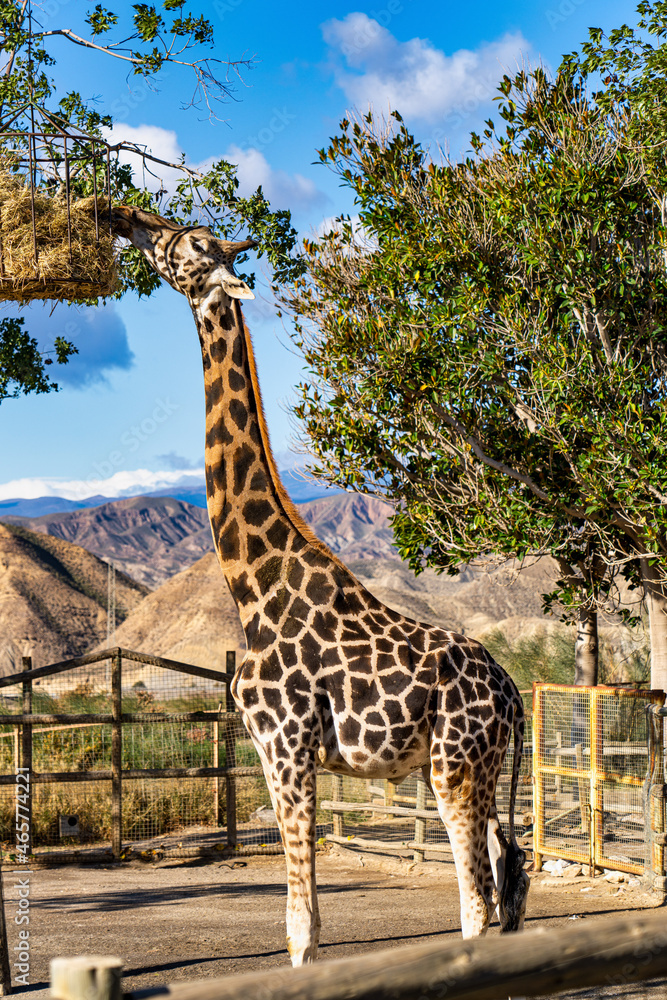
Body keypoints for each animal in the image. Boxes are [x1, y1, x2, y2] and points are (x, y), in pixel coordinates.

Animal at [112, 205, 530, 966]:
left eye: (190, 242)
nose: (129, 221)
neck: (252, 585)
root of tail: (513, 698)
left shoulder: (286, 748)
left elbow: (302, 925)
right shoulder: (274, 752)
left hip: (454, 766)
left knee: (479, 902)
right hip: (478, 771)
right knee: (507, 881)